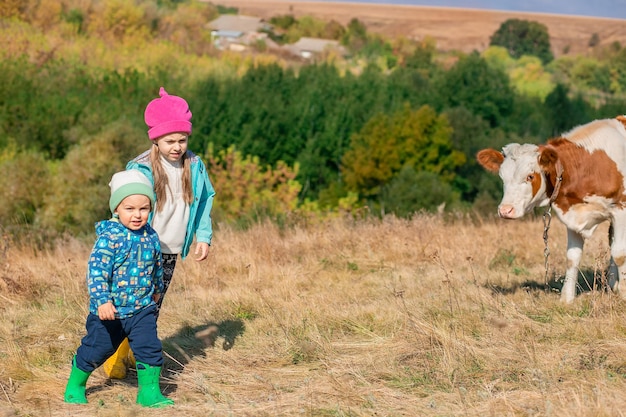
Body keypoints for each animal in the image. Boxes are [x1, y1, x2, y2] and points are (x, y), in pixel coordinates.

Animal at [476, 115, 624, 300]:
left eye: (530, 176)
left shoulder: (620, 210)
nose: (505, 210)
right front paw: (566, 299)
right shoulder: (573, 214)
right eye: (502, 177)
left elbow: (620, 254)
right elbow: (572, 256)